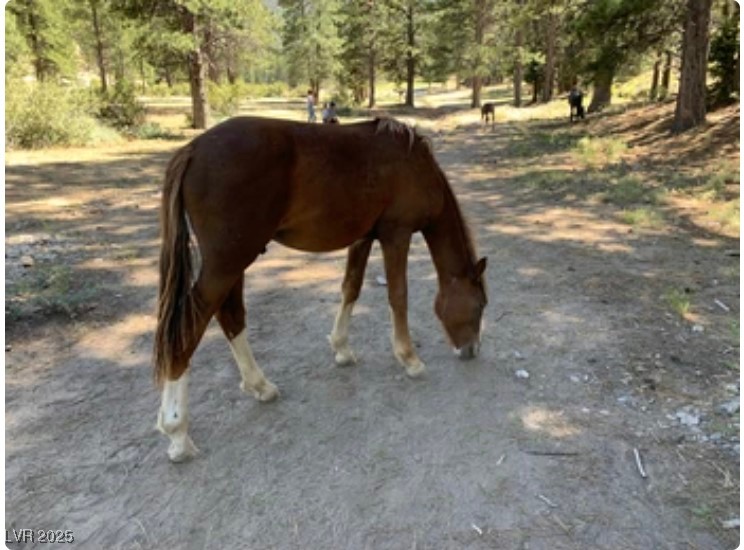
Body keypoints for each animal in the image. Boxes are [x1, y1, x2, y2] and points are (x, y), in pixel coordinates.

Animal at [154, 116, 488, 462]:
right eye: (480, 305)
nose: (471, 350)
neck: (414, 162)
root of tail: (193, 149)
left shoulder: (364, 237)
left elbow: (351, 287)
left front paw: (342, 348)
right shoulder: (397, 234)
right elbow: (398, 296)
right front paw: (410, 359)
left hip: (233, 263)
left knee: (231, 314)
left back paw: (260, 385)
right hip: (227, 263)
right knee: (189, 325)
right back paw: (177, 431)